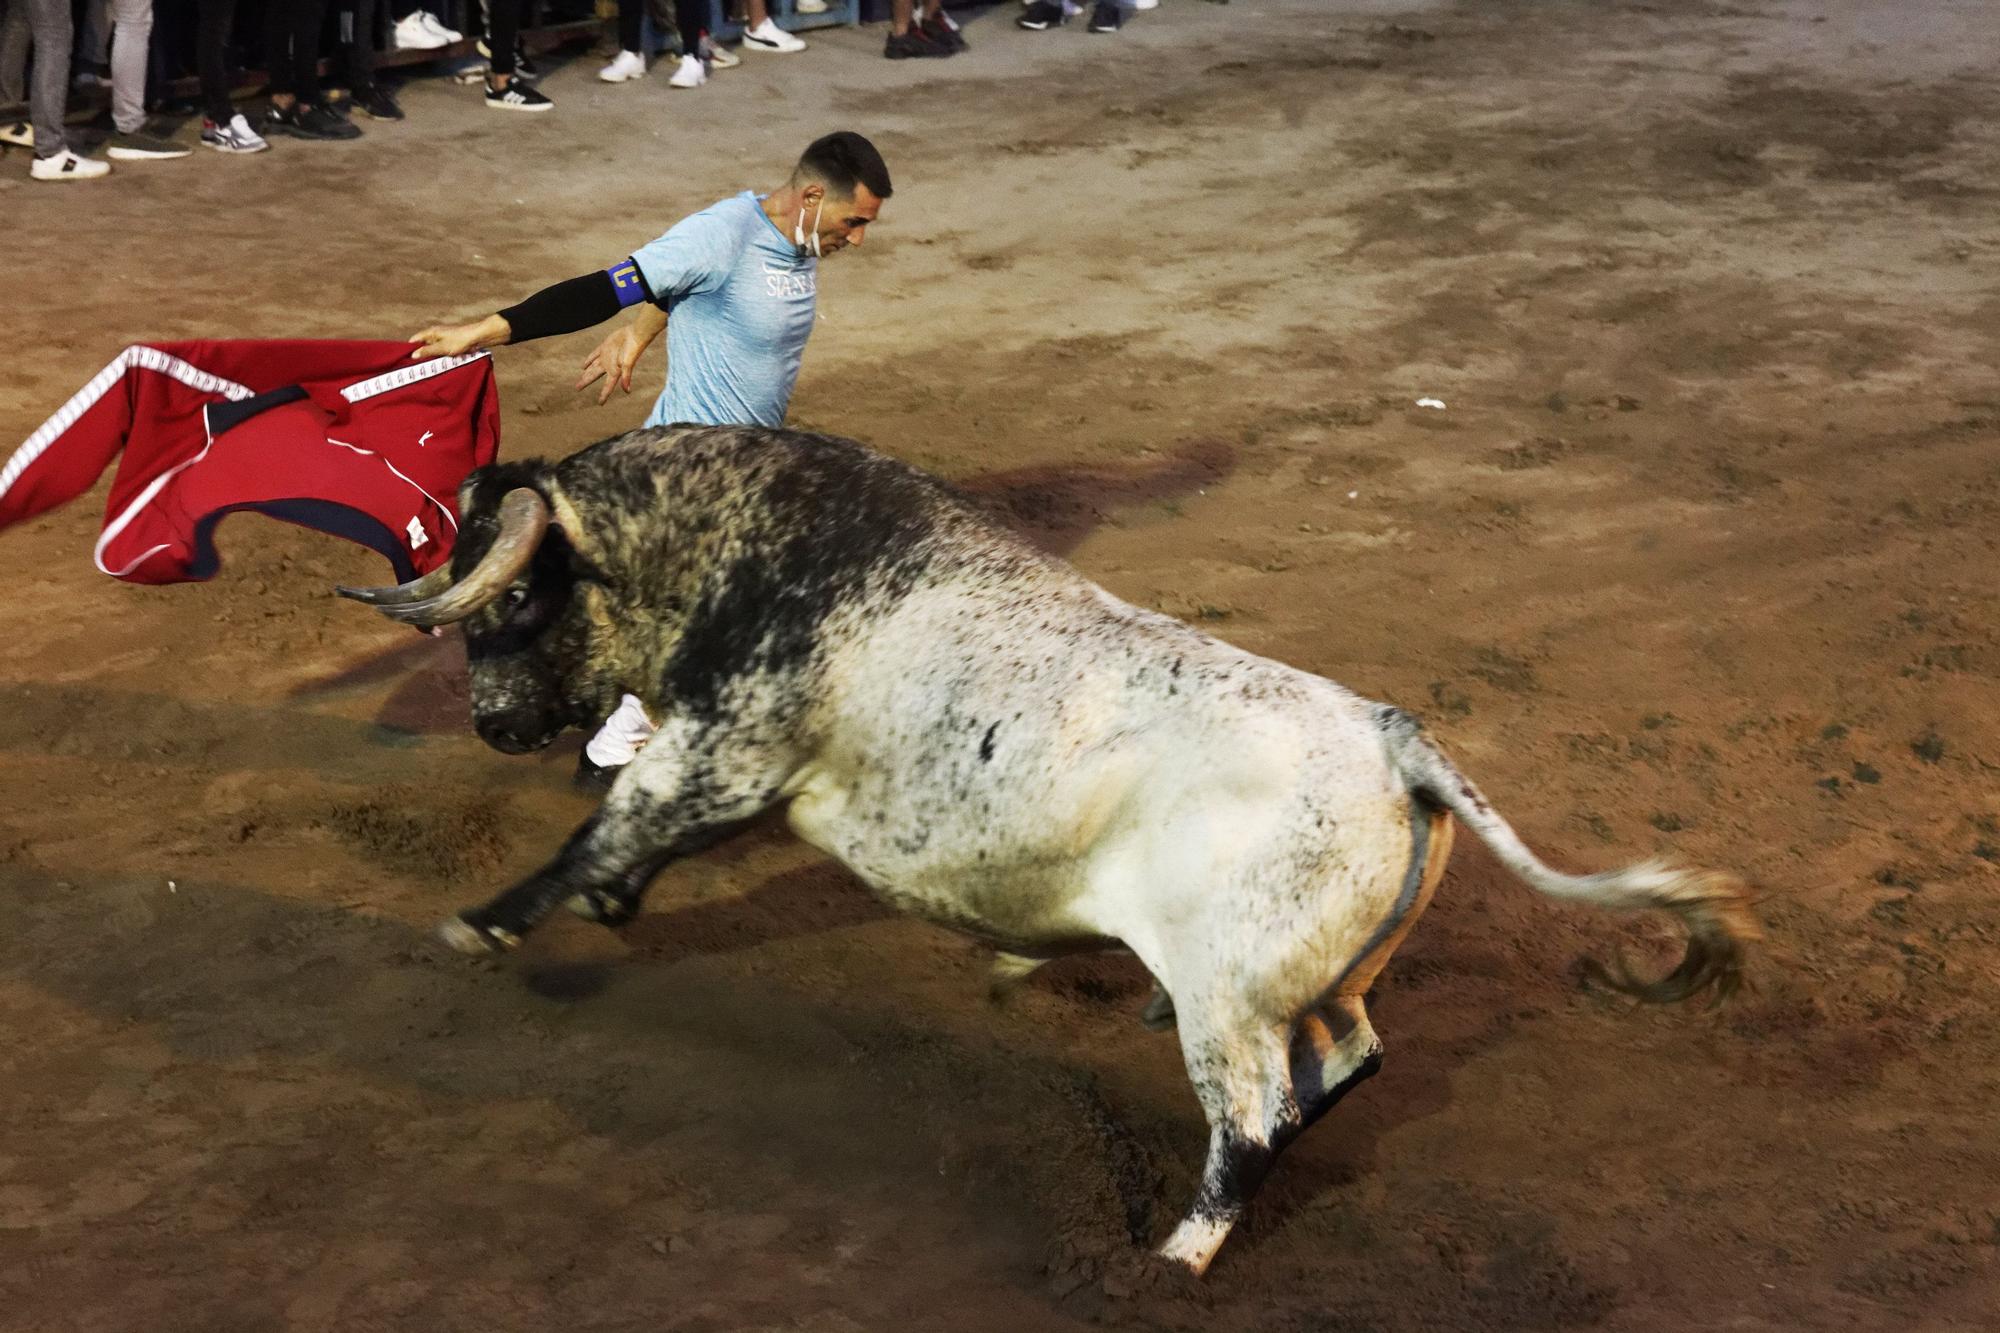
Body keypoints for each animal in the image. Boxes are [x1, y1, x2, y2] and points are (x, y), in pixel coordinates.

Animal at [336, 420, 1760, 1272]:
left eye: (512, 597)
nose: (494, 724)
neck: (745, 543)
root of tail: (1391, 738)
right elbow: (624, 848)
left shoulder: (721, 746)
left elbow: (600, 835)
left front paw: (487, 922)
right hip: (1312, 981)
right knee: (1345, 1056)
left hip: (1227, 996)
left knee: (1249, 1116)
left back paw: (1175, 1257)